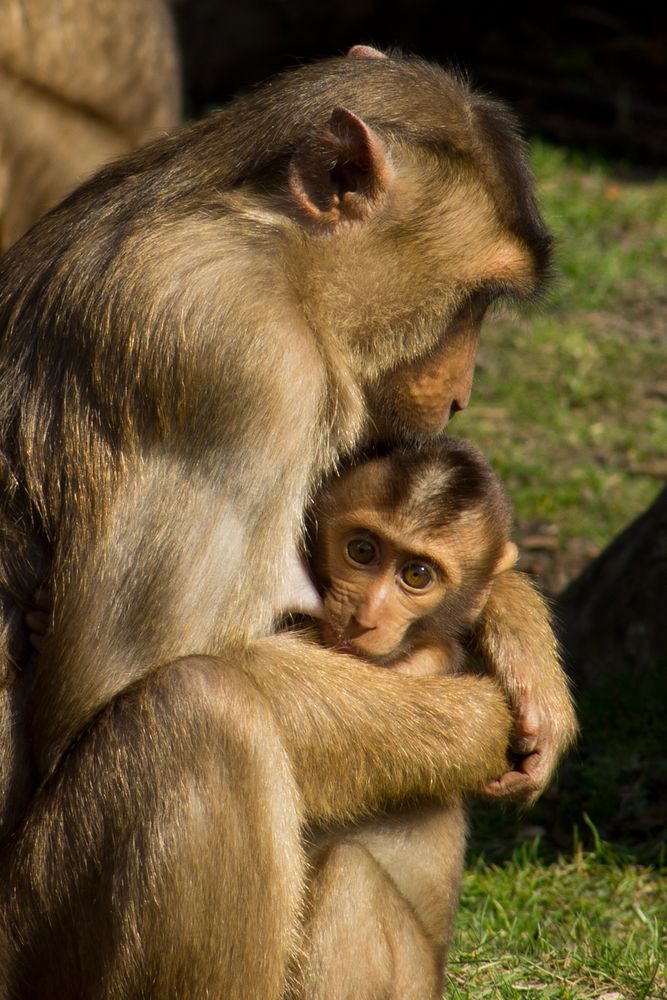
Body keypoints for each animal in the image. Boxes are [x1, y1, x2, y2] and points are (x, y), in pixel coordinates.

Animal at [300, 442, 568, 996]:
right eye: (362, 551)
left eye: (417, 576)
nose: (364, 616)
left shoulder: (422, 664)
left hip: (412, 981)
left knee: (349, 873)